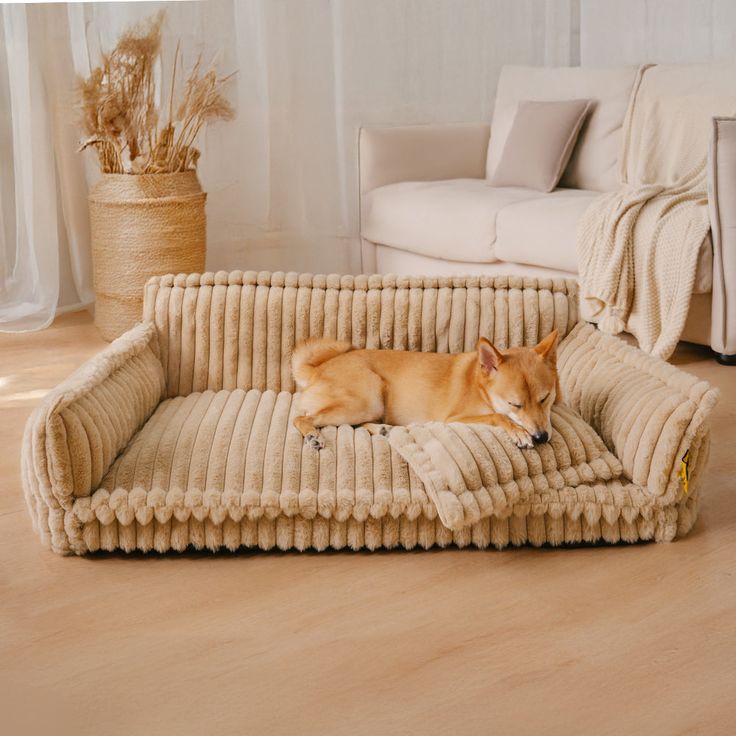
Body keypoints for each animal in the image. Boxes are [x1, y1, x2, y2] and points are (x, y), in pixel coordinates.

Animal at [290, 330, 560, 452]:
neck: (482, 387)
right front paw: (518, 432)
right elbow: (498, 416)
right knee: (302, 418)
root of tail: (316, 370)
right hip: (367, 398)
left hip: (370, 405)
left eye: (545, 398)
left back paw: (382, 428)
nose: (541, 437)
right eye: (515, 404)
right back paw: (312, 434)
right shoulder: (454, 418)